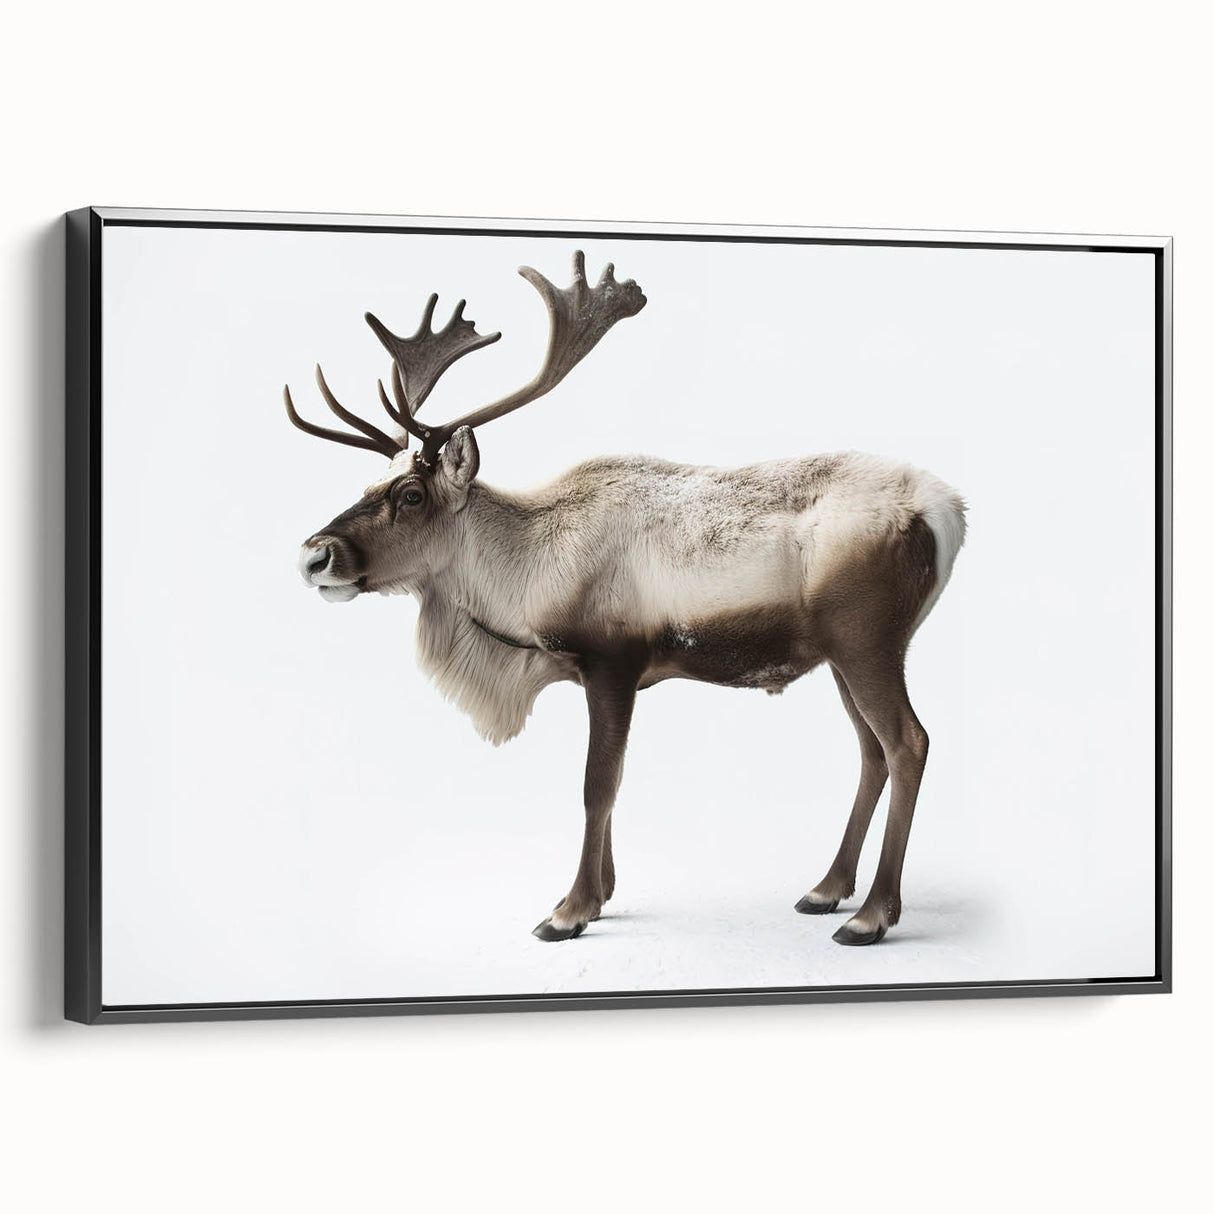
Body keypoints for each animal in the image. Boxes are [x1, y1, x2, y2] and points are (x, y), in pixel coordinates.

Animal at [285, 250, 966, 946]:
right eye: (369, 484)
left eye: (412, 494)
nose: (313, 555)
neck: (526, 576)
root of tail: (949, 512)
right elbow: (608, 786)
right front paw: (603, 893)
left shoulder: (611, 662)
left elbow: (597, 785)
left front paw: (569, 910)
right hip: (840, 654)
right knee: (871, 751)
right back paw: (826, 889)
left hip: (867, 640)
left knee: (907, 742)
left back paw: (871, 914)